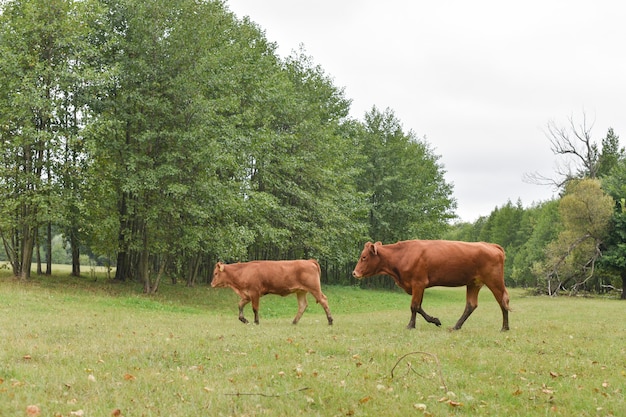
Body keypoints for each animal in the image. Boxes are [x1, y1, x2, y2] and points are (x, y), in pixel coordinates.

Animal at [352, 239, 508, 330]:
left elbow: (414, 306)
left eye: (364, 257)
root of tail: (490, 245)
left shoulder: (418, 283)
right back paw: (456, 326)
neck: (403, 255)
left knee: (503, 301)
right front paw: (435, 320)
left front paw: (410, 325)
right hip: (473, 283)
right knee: (471, 305)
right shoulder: (419, 286)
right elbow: (419, 307)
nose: (354, 273)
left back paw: (505, 327)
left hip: (494, 281)